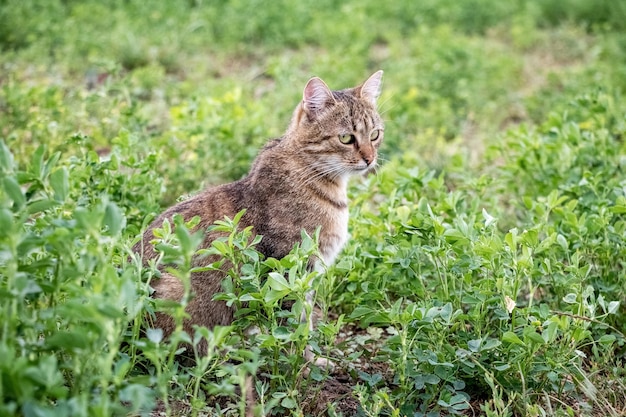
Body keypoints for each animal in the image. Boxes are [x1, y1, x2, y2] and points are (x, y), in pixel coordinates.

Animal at [134, 71, 382, 358]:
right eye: (346, 138)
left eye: (375, 134)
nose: (370, 159)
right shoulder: (290, 267)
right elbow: (296, 324)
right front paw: (305, 360)